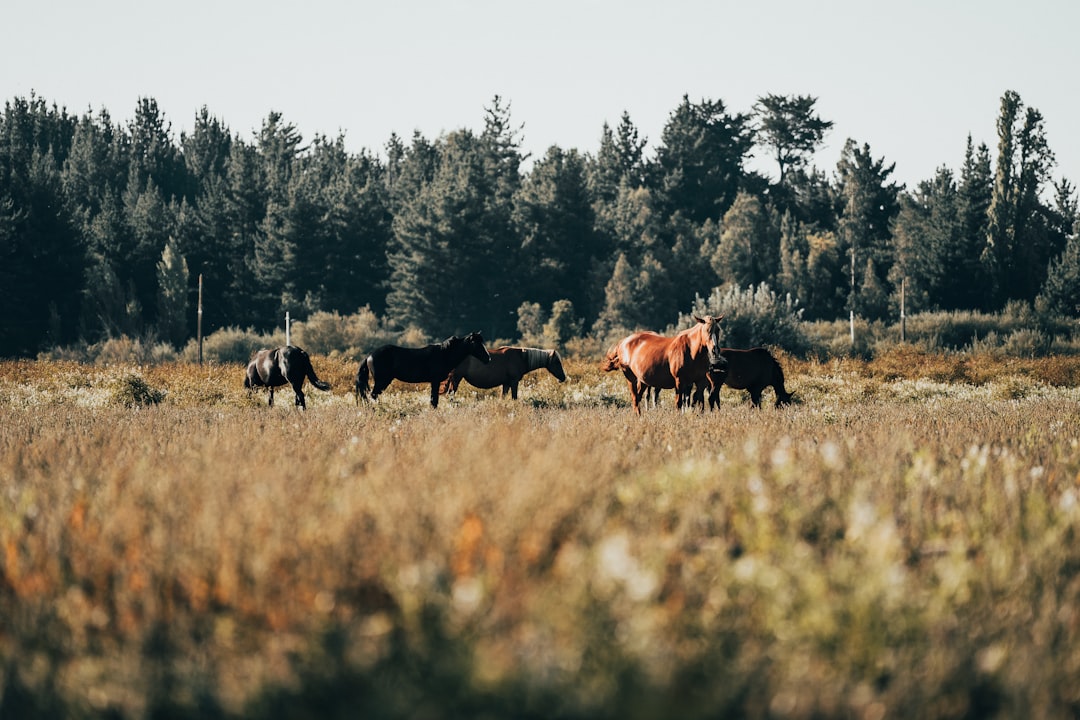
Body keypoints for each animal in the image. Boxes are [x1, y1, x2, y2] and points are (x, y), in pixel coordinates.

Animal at [354, 330, 490, 408]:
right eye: (476, 343)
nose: (488, 358)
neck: (444, 354)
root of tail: (369, 356)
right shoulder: (435, 381)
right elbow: (434, 401)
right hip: (382, 381)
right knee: (373, 395)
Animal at [440, 347, 570, 399]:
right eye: (557, 362)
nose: (563, 378)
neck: (521, 357)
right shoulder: (514, 382)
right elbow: (514, 397)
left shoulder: (506, 384)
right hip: (456, 378)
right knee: (451, 394)